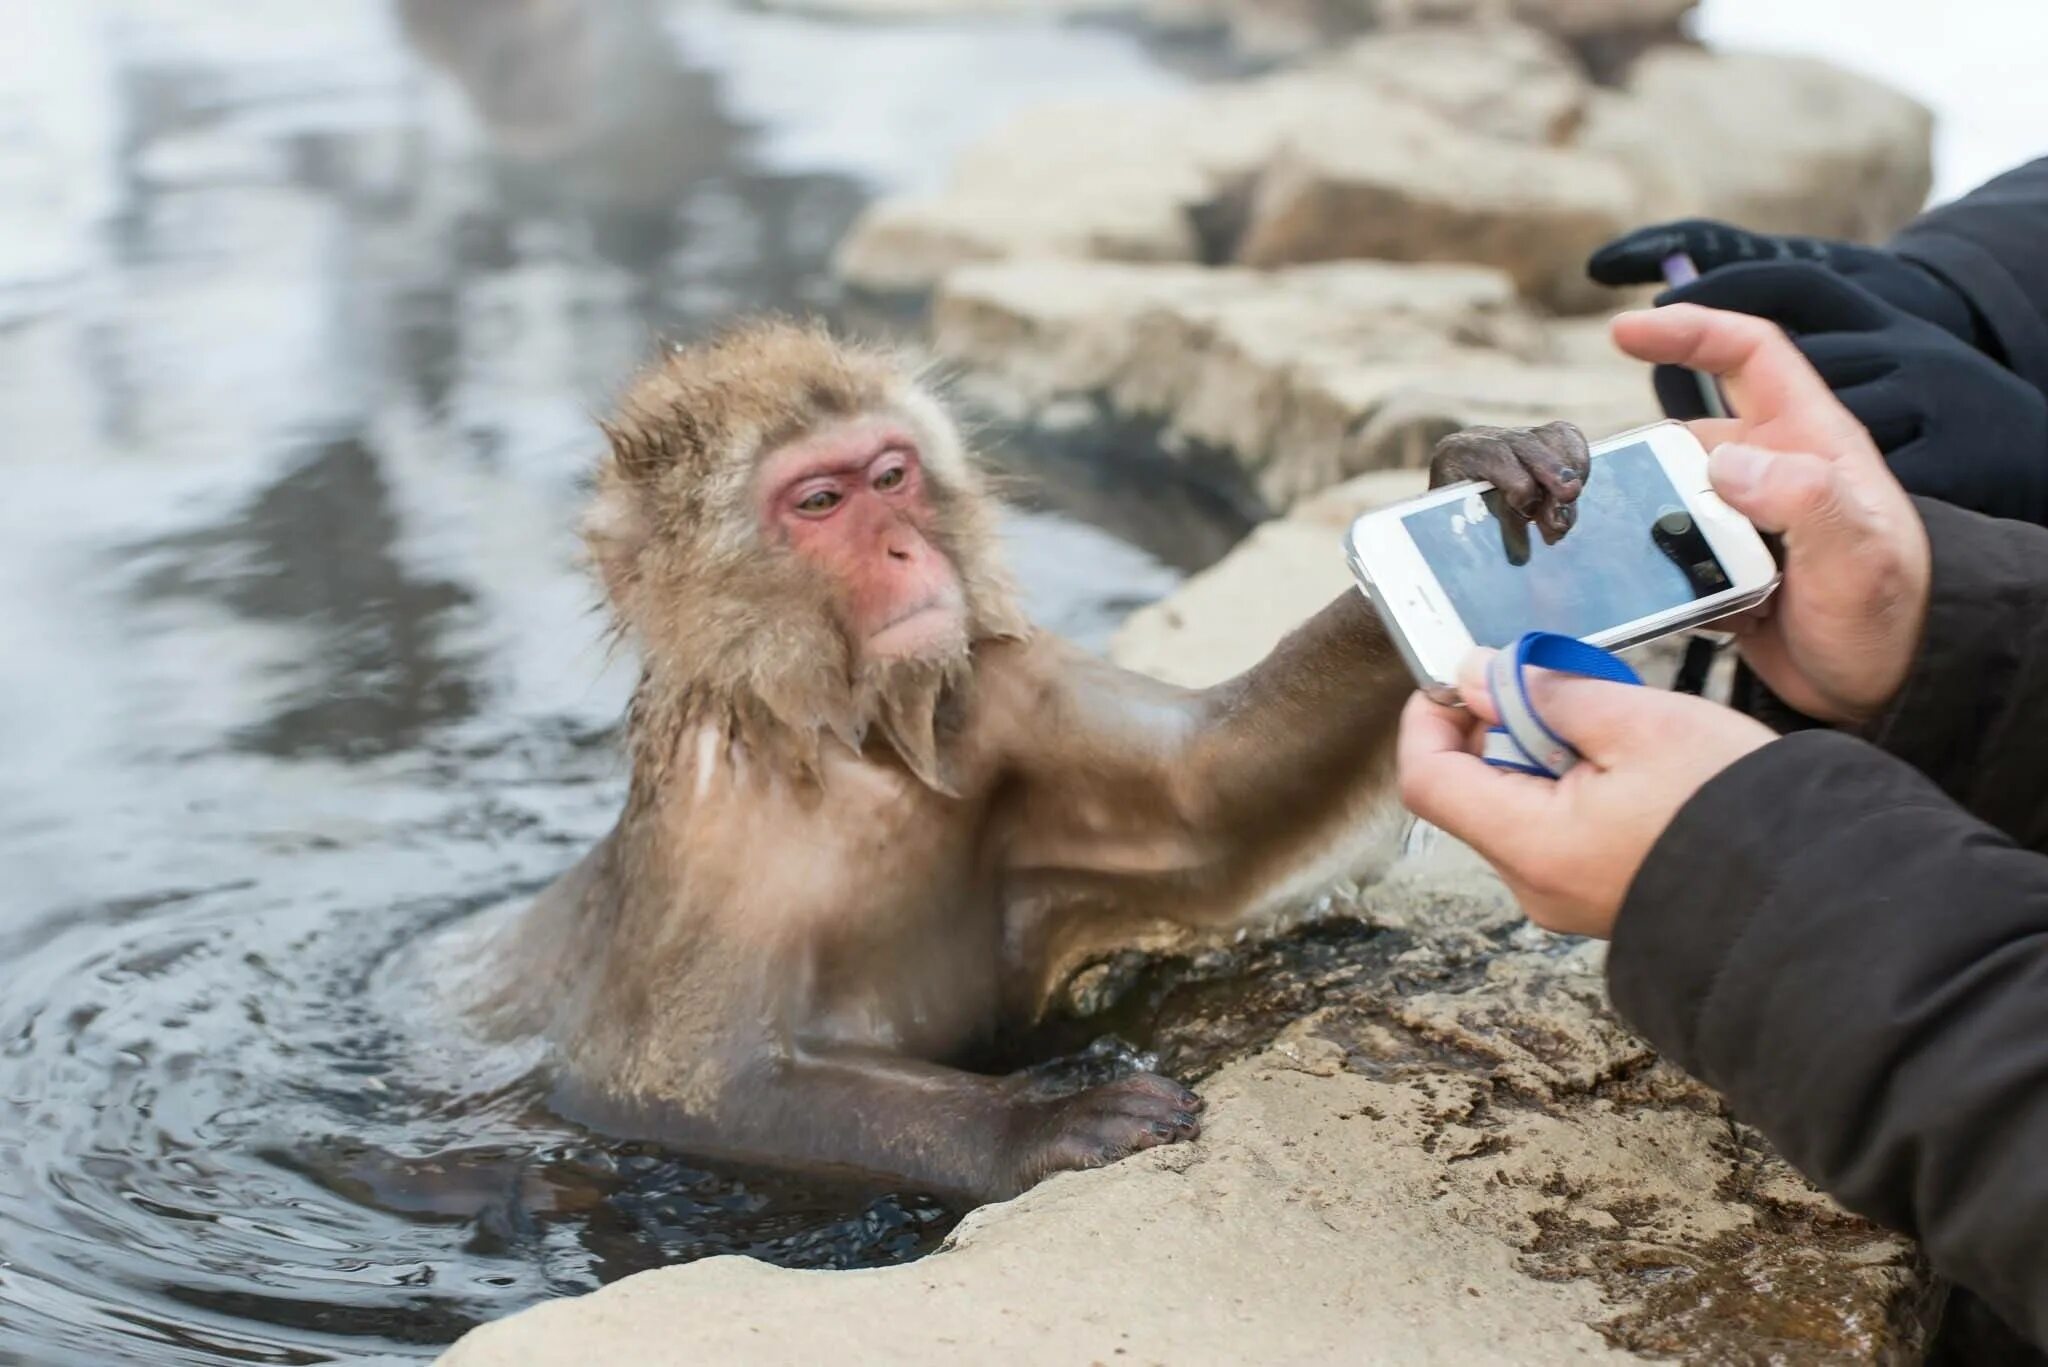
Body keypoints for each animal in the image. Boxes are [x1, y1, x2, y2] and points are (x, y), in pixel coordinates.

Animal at [475, 325, 1581, 1205]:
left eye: (892, 478)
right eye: (820, 500)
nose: (904, 552)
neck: (850, 744)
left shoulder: (998, 686)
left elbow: (1204, 791)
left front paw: (1460, 495)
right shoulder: (710, 836)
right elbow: (680, 1086)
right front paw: (1041, 1122)